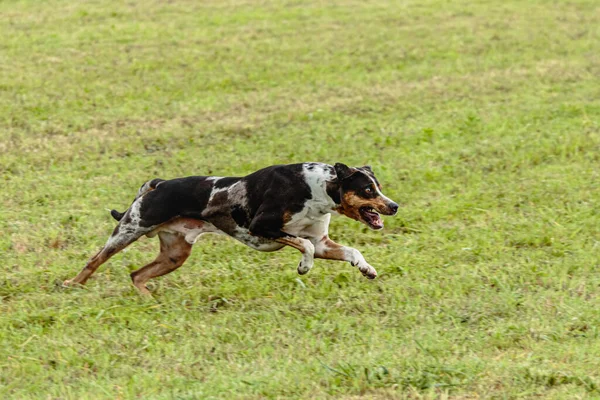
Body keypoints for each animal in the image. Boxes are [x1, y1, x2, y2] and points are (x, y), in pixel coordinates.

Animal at [64, 161, 398, 296]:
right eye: (368, 190)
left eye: (379, 187)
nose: (394, 206)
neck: (317, 189)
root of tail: (159, 183)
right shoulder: (261, 226)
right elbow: (304, 247)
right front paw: (304, 267)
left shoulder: (323, 241)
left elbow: (351, 251)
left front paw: (366, 269)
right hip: (129, 230)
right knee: (94, 260)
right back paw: (71, 284)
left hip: (175, 254)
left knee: (137, 275)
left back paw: (150, 301)